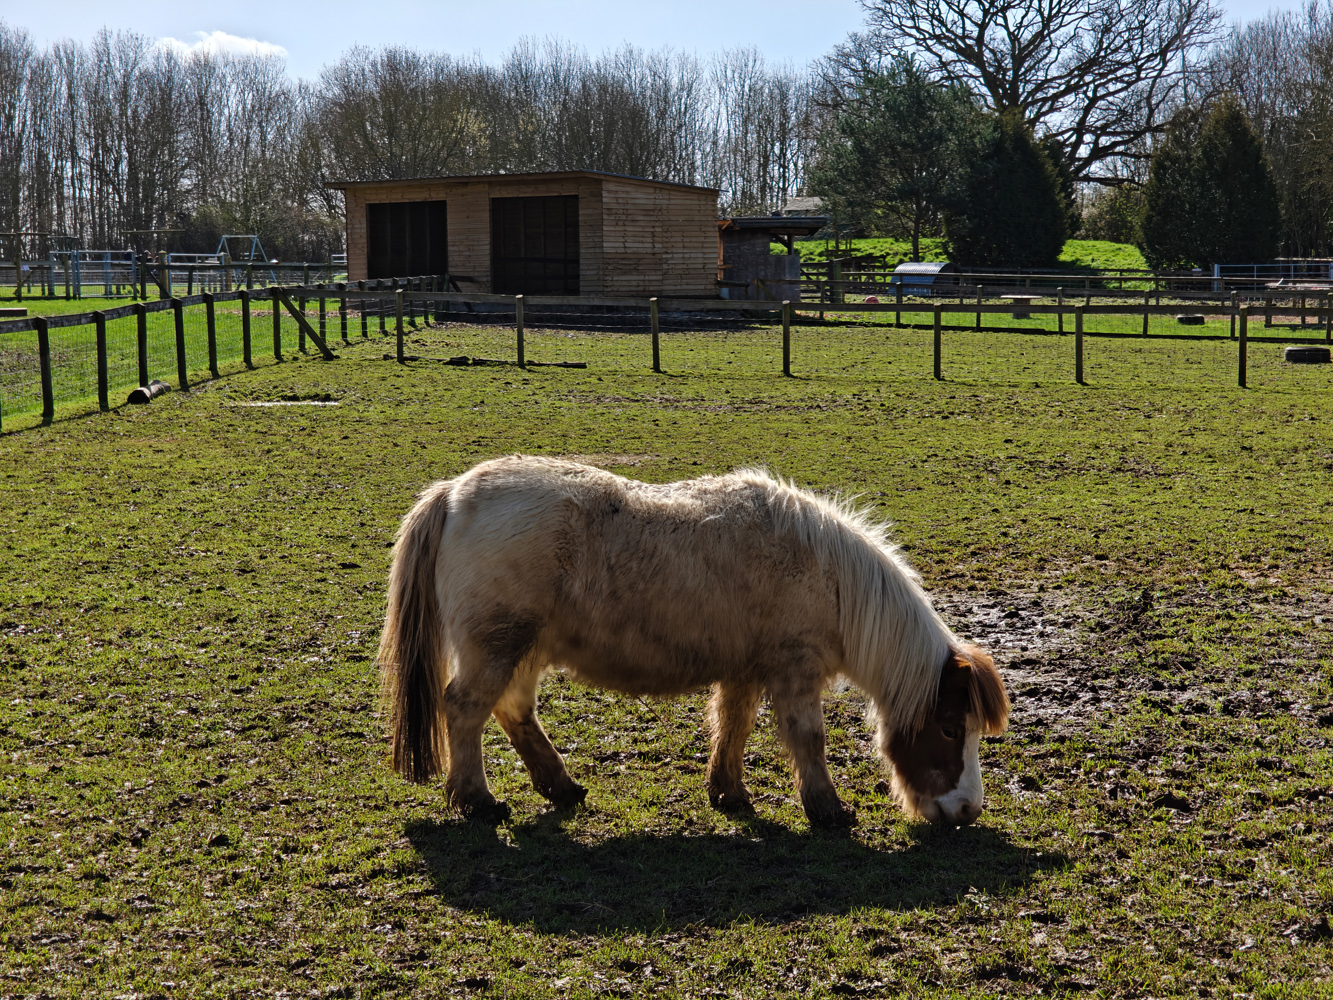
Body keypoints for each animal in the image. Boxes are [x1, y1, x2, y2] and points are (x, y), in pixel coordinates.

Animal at [378, 455, 1010, 828]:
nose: (967, 810)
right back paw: (477, 800)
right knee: (465, 709)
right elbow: (808, 737)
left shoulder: (746, 671)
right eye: (949, 728)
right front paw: (828, 808)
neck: (826, 575)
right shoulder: (794, 670)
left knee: (512, 712)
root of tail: (453, 494)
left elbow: (734, 726)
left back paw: (561, 787)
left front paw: (728, 793)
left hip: (523, 650)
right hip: (497, 646)